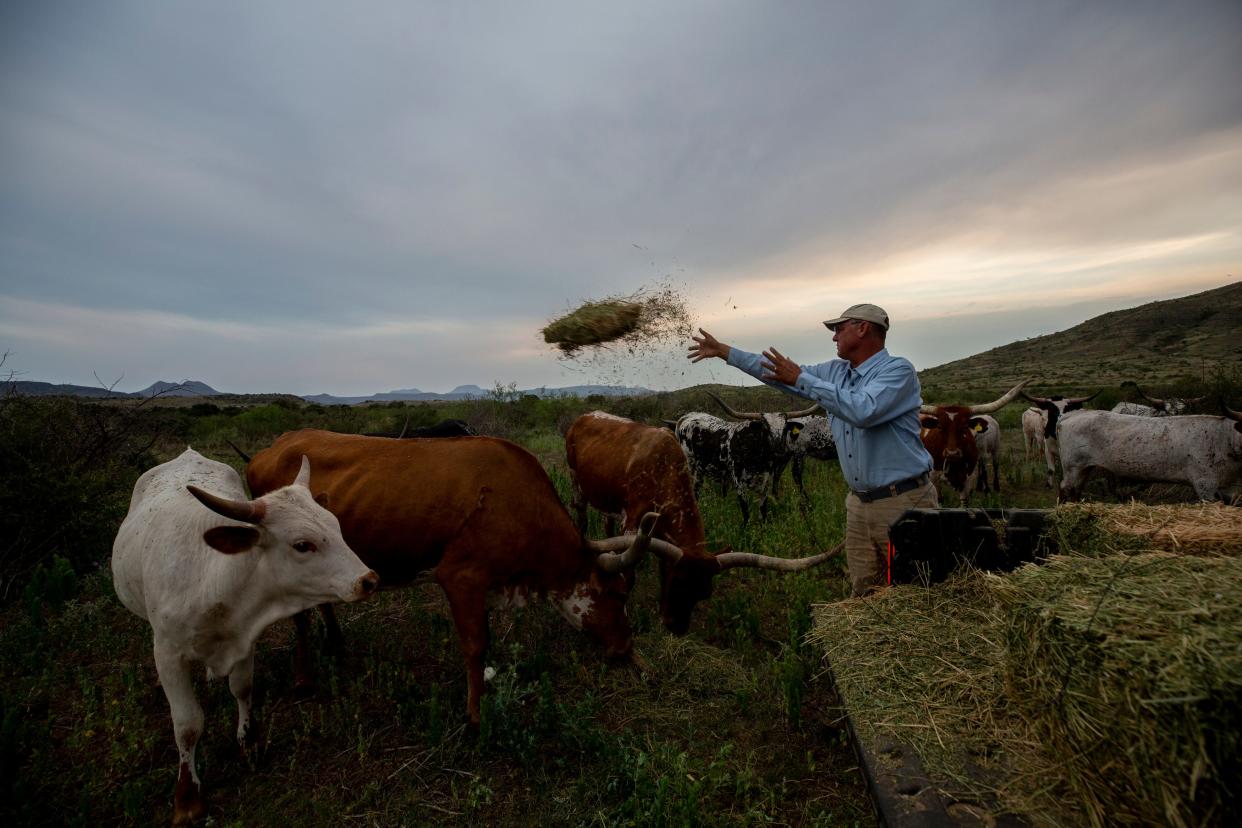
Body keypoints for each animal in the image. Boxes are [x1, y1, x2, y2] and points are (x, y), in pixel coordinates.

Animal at [113, 449, 375, 824]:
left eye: (337, 527)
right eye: (302, 545)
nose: (368, 580)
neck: (212, 579)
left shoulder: (245, 638)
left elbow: (242, 688)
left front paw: (248, 742)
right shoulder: (168, 654)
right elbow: (187, 724)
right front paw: (187, 797)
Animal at [244, 431, 680, 720]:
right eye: (617, 595)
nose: (625, 646)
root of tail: (273, 446)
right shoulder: (461, 577)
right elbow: (476, 646)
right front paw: (474, 714)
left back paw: (336, 641)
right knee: (299, 616)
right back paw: (304, 678)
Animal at [563, 412, 834, 635]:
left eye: (703, 593)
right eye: (677, 583)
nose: (677, 628)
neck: (662, 468)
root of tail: (584, 417)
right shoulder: (633, 524)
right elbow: (628, 574)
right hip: (577, 487)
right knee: (583, 520)